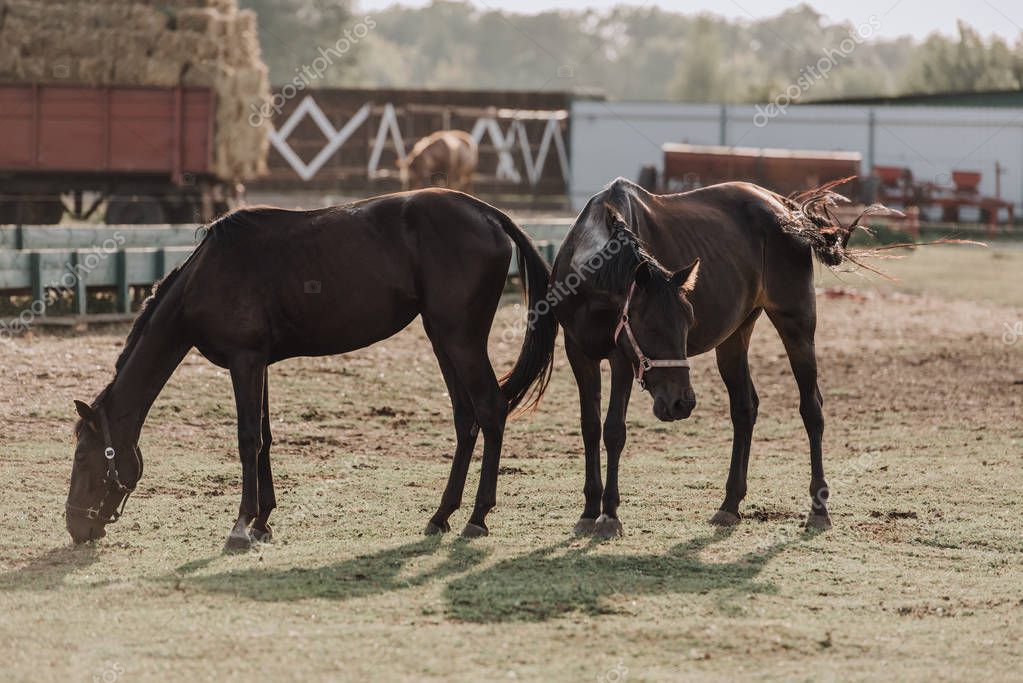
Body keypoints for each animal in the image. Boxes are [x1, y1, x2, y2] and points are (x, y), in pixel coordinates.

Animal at [61, 188, 560, 548]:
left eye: (84, 456)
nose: (75, 526)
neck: (207, 276)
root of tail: (488, 213)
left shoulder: (244, 361)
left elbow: (247, 439)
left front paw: (241, 525)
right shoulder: (258, 363)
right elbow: (264, 438)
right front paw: (262, 521)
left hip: (461, 339)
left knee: (491, 410)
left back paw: (477, 516)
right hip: (443, 339)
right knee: (465, 418)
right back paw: (441, 515)